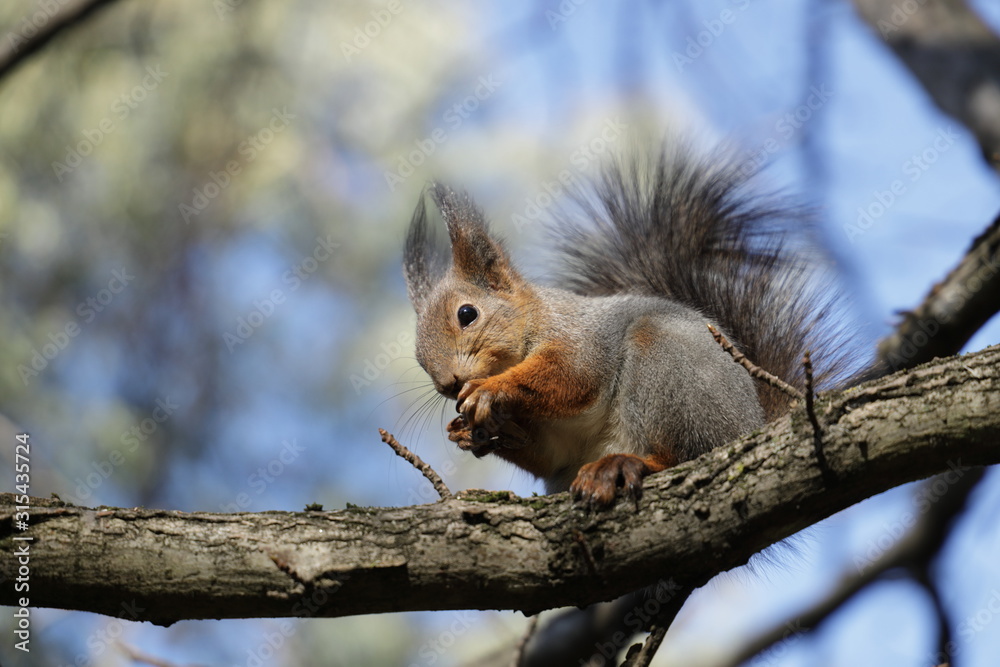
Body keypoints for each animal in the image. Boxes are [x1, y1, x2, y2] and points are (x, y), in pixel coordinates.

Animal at [402, 142, 856, 506]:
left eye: (467, 314)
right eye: (417, 357)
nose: (449, 385)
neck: (535, 320)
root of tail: (754, 424)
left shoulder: (580, 337)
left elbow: (572, 376)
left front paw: (492, 390)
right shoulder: (557, 445)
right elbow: (548, 453)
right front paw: (467, 431)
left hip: (670, 366)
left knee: (687, 453)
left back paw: (627, 465)